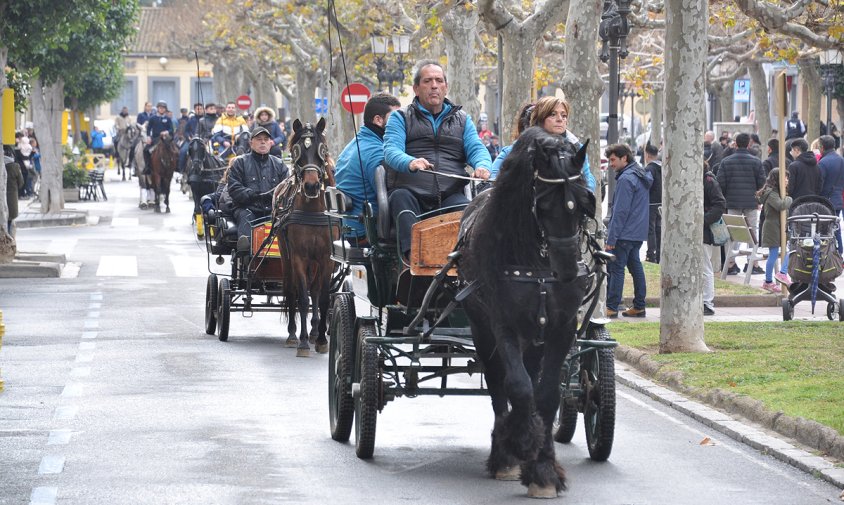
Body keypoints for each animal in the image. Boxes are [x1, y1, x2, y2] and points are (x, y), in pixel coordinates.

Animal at [276, 117, 340, 358]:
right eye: (296, 151)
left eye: (322, 149)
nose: (311, 185)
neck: (313, 210)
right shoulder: (298, 257)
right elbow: (302, 297)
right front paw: (302, 342)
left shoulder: (326, 259)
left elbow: (322, 298)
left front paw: (320, 339)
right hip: (286, 256)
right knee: (292, 290)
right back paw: (294, 334)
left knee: (315, 291)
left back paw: (313, 332)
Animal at [454, 126, 592, 496]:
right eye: (542, 204)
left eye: (583, 202)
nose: (568, 270)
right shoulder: (503, 325)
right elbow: (517, 386)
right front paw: (519, 445)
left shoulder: (561, 327)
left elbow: (546, 395)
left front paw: (543, 469)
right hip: (481, 328)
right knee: (497, 383)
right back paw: (504, 452)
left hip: (535, 336)